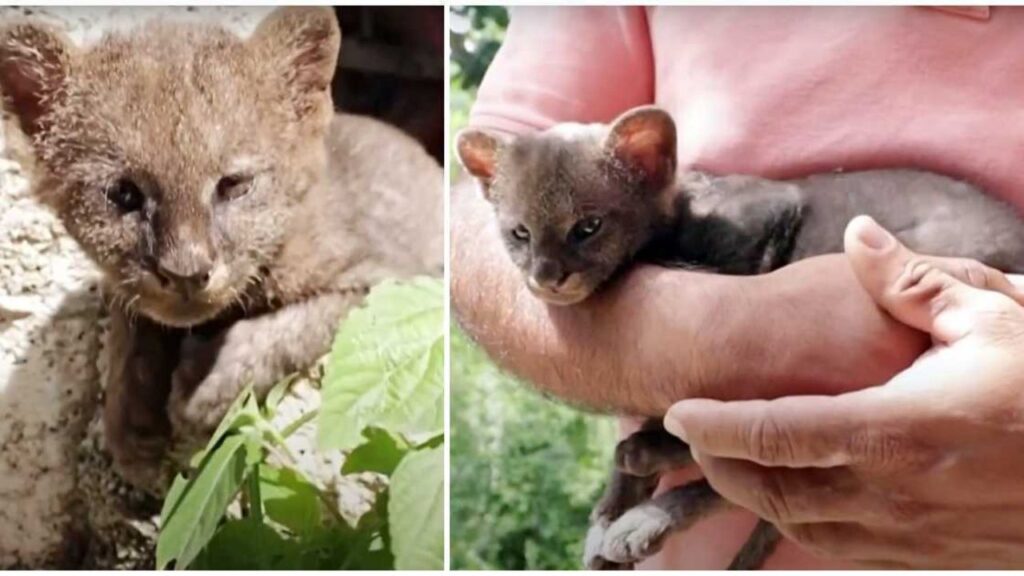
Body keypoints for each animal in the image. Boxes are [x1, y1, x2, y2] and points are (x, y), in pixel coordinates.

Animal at [1, 6, 440, 485]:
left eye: (234, 184)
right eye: (123, 194)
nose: (186, 273)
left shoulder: (386, 278)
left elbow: (293, 329)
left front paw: (202, 388)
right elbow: (129, 328)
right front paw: (130, 422)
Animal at [460, 105, 1024, 565]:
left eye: (588, 227)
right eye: (519, 234)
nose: (547, 276)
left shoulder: (771, 213)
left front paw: (626, 500)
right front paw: (610, 507)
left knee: (744, 470)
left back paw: (648, 500)